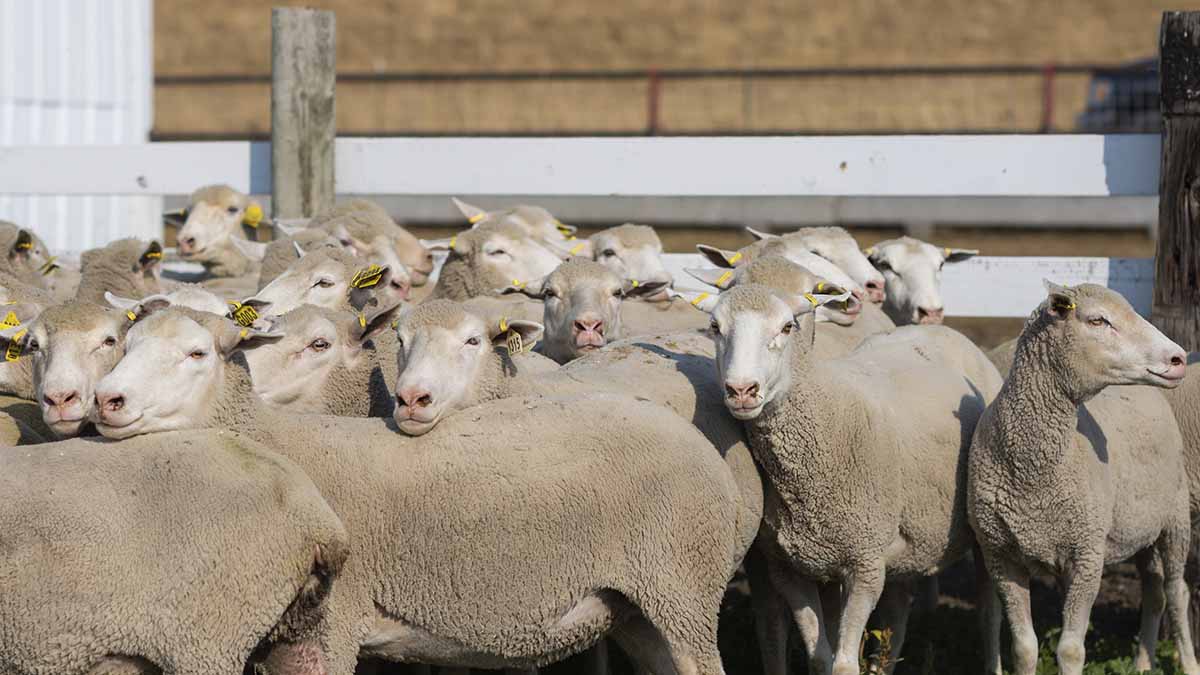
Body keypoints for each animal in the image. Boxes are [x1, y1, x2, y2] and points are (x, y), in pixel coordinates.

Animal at [91, 307, 739, 672]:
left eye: (197, 353)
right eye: (123, 346)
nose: (107, 400)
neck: (276, 443)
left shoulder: (328, 629)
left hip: (683, 589)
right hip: (639, 610)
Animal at [700, 279, 1003, 672]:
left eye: (787, 327)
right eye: (715, 327)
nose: (741, 390)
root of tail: (944, 329)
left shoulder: (865, 564)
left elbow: (844, 664)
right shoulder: (790, 569)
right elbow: (820, 656)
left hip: (983, 530)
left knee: (989, 613)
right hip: (905, 539)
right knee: (897, 616)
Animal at [964, 279, 1200, 672]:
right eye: (1098, 320)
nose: (1178, 358)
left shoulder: (1088, 555)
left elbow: (1071, 650)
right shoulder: (1001, 555)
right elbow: (1024, 647)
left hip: (1175, 519)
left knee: (1176, 591)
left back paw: (1189, 663)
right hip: (1139, 525)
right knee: (1154, 591)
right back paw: (1142, 663)